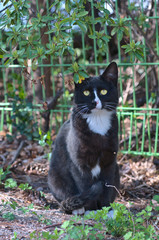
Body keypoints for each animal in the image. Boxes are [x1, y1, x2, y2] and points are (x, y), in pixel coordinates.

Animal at [47, 61, 120, 214]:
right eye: (86, 92)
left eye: (103, 92)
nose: (95, 102)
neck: (97, 121)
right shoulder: (79, 164)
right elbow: (86, 186)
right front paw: (91, 211)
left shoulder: (110, 162)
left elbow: (107, 186)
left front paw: (106, 210)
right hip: (54, 178)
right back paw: (76, 208)